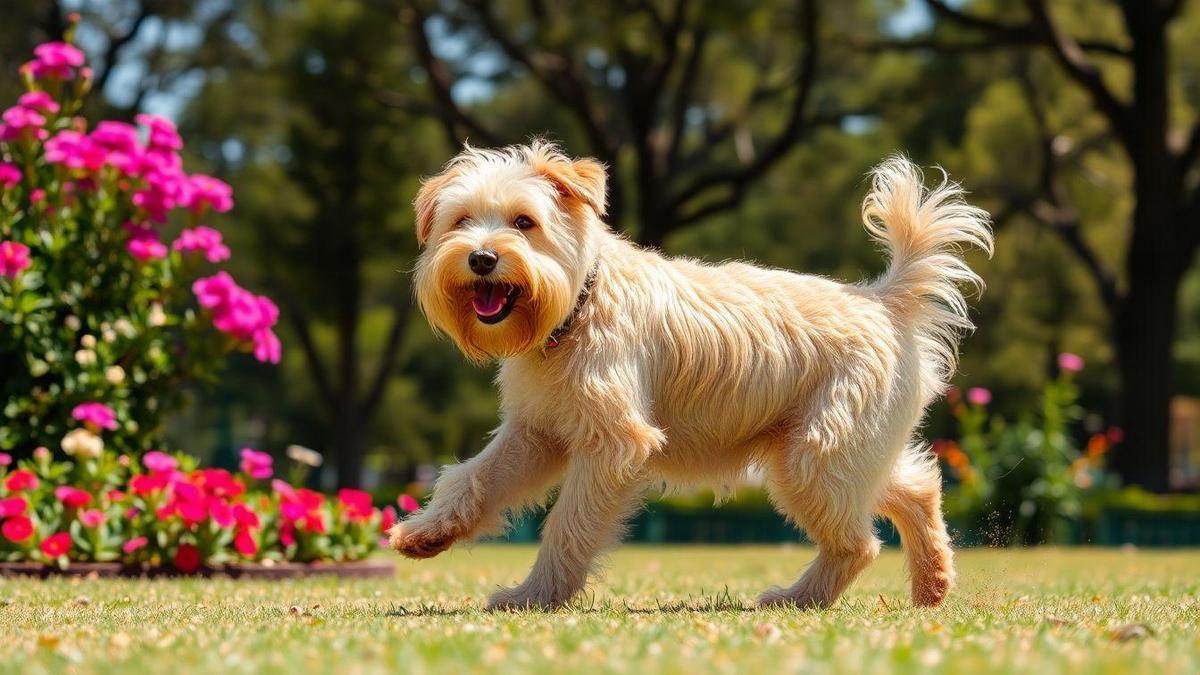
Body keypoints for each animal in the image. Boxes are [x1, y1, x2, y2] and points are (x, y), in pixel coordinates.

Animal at [388, 141, 988, 610]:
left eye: (524, 222)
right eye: (461, 221)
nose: (481, 259)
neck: (577, 307)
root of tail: (884, 299)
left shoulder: (614, 443)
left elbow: (566, 526)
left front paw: (532, 598)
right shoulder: (537, 433)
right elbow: (472, 477)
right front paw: (424, 534)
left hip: (813, 457)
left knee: (859, 542)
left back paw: (796, 599)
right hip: (845, 453)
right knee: (918, 487)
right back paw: (932, 585)